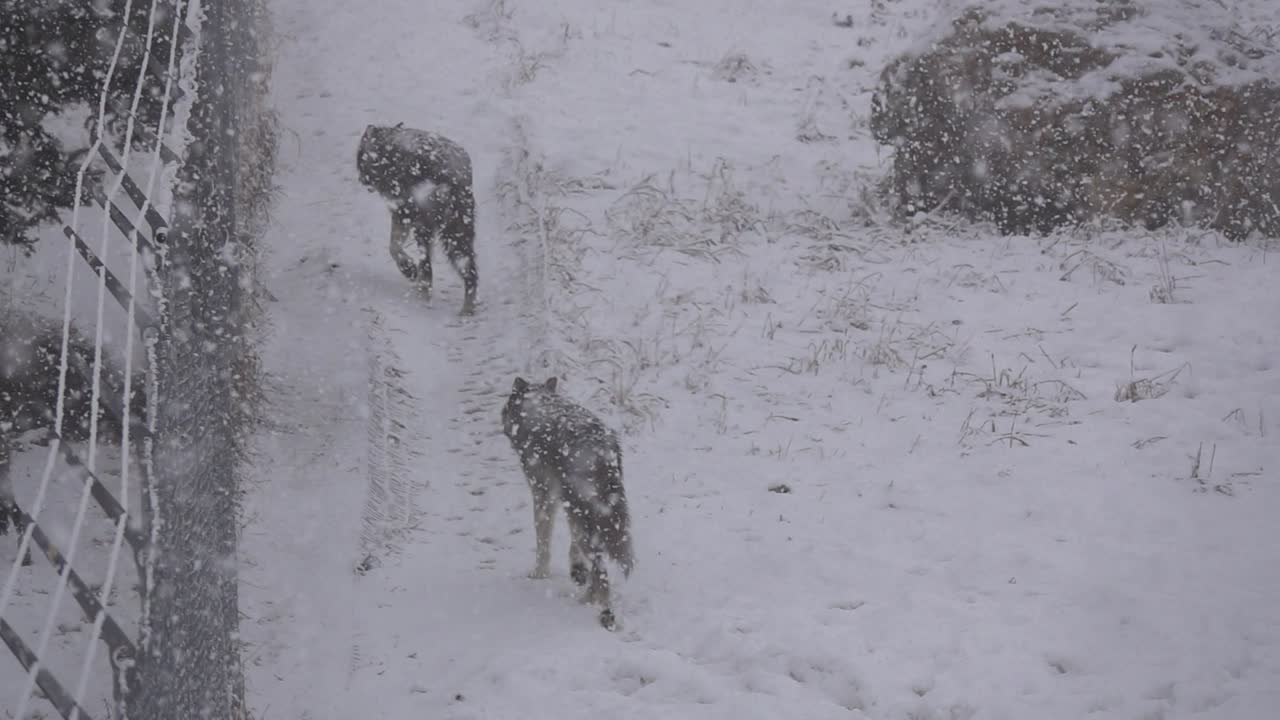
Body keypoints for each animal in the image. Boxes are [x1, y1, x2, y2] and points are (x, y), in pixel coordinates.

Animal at [356, 123, 478, 315]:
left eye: (361, 155)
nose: (361, 179)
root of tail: (447, 182)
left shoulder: (401, 212)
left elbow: (394, 246)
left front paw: (408, 269)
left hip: (426, 227)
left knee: (427, 267)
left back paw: (422, 294)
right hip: (458, 233)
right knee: (469, 271)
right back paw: (466, 309)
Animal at [501, 376, 634, 629]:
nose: (502, 421)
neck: (539, 405)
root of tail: (600, 450)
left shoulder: (543, 495)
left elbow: (543, 540)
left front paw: (539, 574)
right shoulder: (566, 504)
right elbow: (572, 544)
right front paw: (576, 569)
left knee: (601, 572)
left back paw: (597, 607)